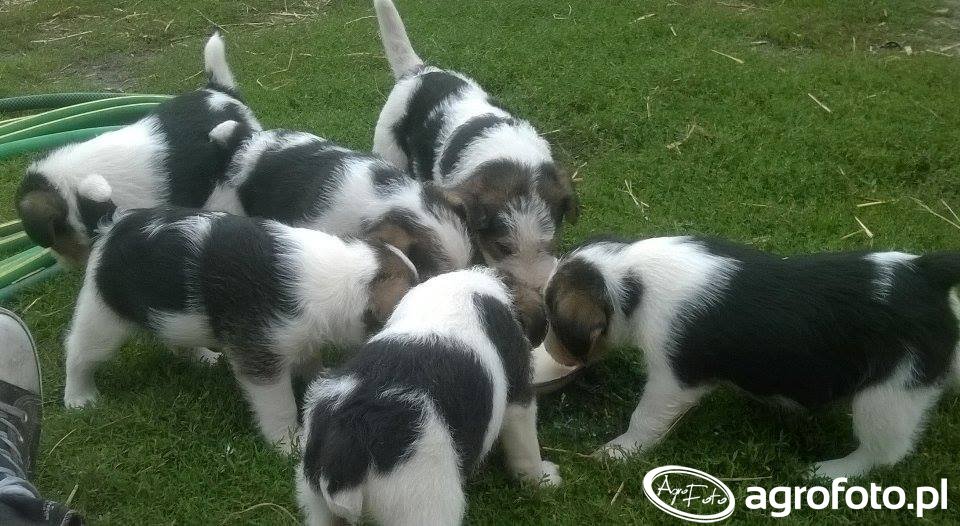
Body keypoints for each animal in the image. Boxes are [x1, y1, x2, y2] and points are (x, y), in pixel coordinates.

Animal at [63, 207, 418, 453]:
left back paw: (203, 357)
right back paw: (79, 399)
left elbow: (309, 360)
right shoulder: (260, 356)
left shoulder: (298, 336)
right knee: (79, 354)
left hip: (176, 318)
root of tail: (112, 226)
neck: (343, 279)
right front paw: (289, 445)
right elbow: (279, 405)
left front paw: (319, 378)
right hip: (103, 316)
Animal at [296, 267, 560, 526]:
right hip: (422, 501)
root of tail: (347, 443)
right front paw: (545, 480)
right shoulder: (519, 396)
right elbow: (526, 447)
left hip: (314, 500)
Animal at [370, 0, 579, 345]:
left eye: (550, 244)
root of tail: (417, 71)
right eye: (502, 247)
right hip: (388, 146)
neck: (508, 158)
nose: (536, 295)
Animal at [543, 236, 960, 478]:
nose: (547, 349)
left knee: (884, 452)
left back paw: (828, 471)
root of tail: (927, 275)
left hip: (887, 396)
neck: (633, 279)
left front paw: (617, 452)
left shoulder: (672, 380)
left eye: (554, 320)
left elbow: (644, 418)